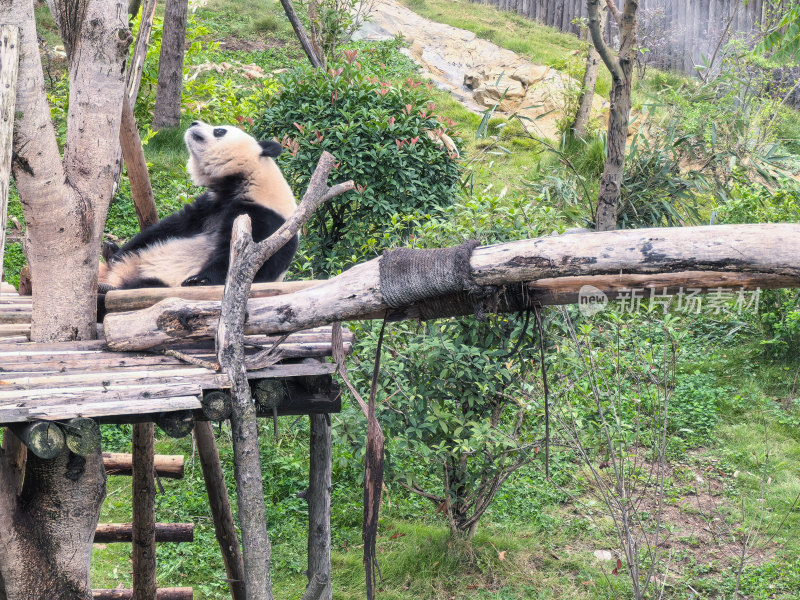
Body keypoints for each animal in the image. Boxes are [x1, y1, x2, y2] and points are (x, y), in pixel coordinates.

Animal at [99, 122, 298, 290]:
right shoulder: (210, 205)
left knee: (143, 285)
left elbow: (244, 262)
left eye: (219, 131)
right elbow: (170, 227)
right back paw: (110, 252)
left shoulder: (265, 219)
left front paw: (199, 280)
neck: (247, 181)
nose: (193, 123)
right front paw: (118, 252)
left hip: (160, 279)